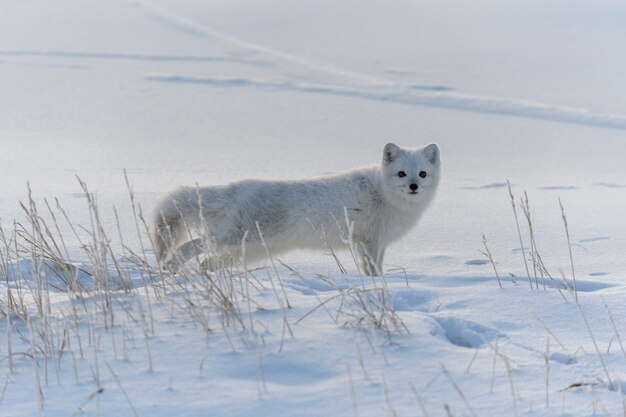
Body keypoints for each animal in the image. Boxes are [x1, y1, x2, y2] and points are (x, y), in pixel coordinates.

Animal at [150, 143, 438, 276]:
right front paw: (376, 286)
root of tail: (238, 187)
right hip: (235, 236)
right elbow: (372, 269)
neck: (384, 194)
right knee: (194, 244)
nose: (414, 186)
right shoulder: (369, 241)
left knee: (207, 262)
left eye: (423, 173)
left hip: (246, 250)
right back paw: (170, 265)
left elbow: (374, 268)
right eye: (401, 173)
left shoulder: (376, 243)